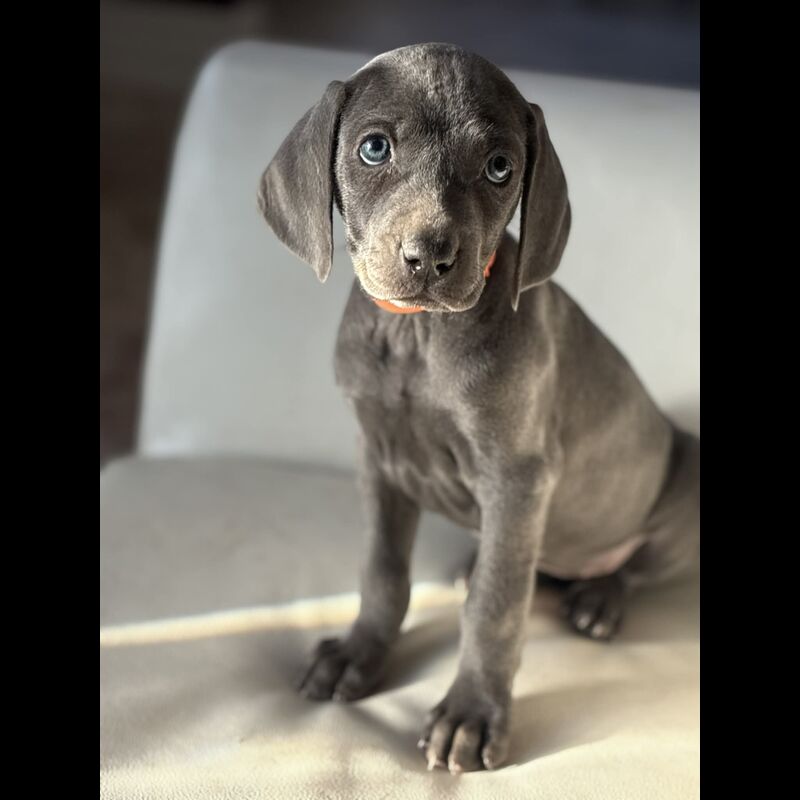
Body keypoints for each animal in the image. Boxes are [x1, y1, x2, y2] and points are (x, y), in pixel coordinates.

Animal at [258, 43, 699, 774]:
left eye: (499, 167)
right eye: (373, 148)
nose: (429, 256)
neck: (416, 338)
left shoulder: (518, 478)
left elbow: (494, 609)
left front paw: (470, 713)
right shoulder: (377, 459)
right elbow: (382, 571)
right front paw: (357, 653)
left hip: (680, 478)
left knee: (627, 570)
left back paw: (600, 600)